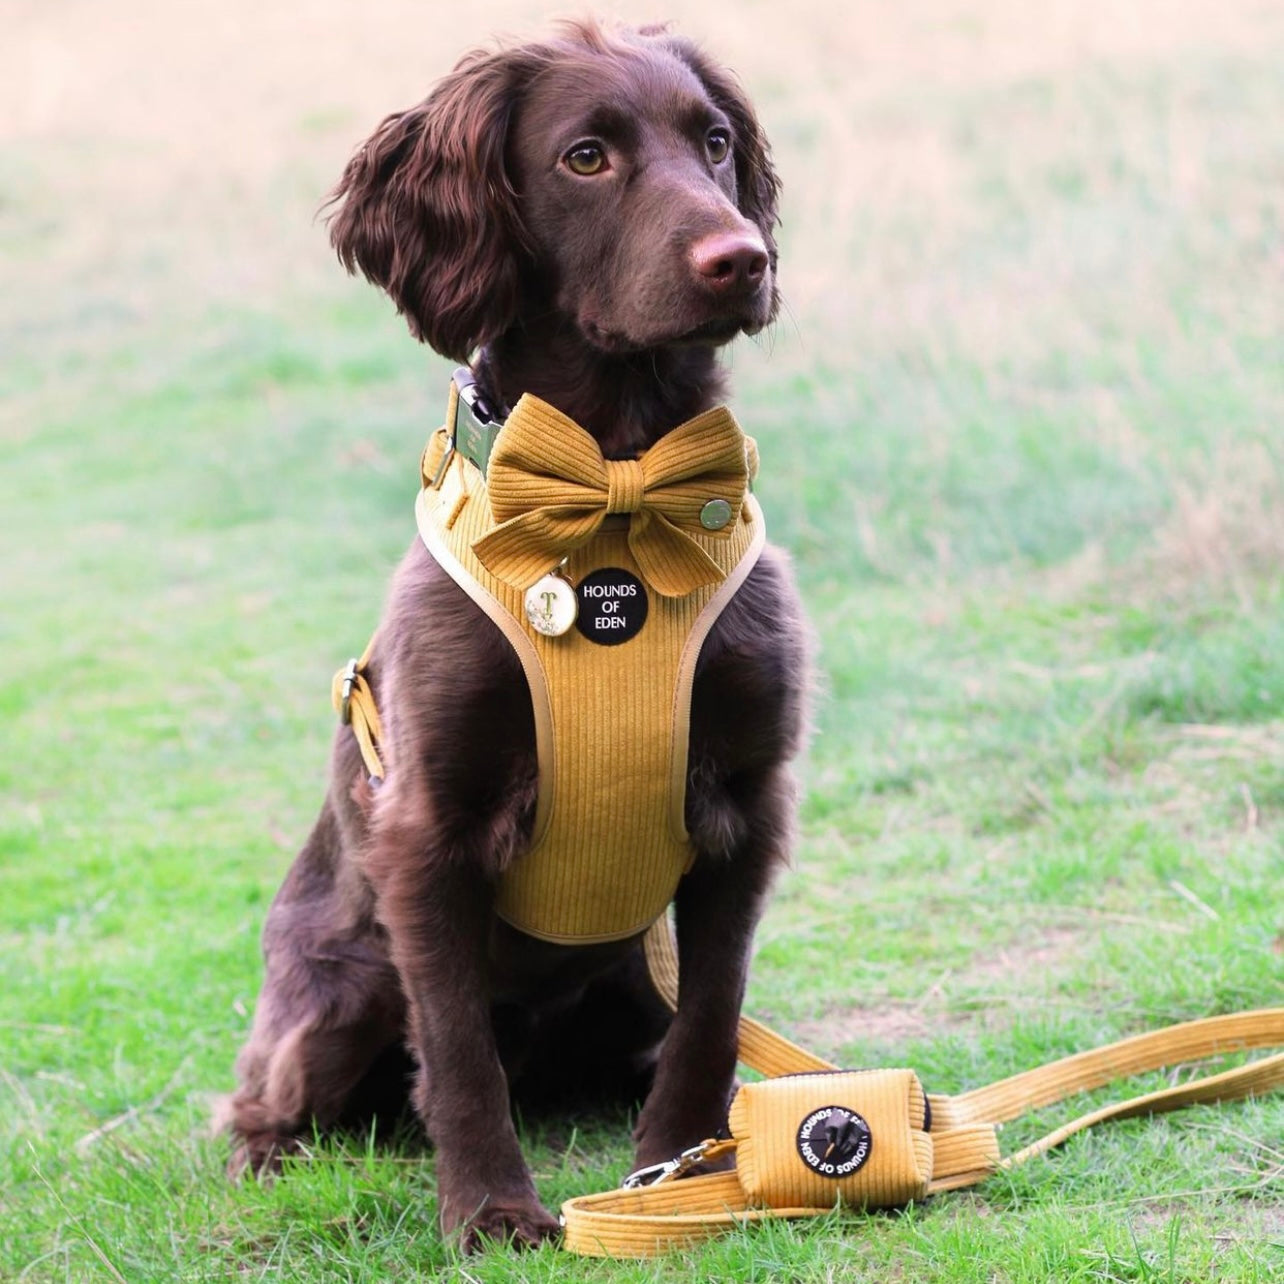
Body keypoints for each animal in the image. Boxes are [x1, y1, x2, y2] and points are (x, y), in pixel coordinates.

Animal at [220, 20, 801, 1248]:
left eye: (714, 142)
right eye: (586, 157)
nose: (741, 259)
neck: (617, 497)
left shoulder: (745, 807)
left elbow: (713, 1015)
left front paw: (682, 1170)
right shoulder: (427, 832)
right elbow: (455, 1048)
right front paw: (490, 1208)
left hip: (628, 984)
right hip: (339, 991)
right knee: (269, 1089)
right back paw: (266, 1155)